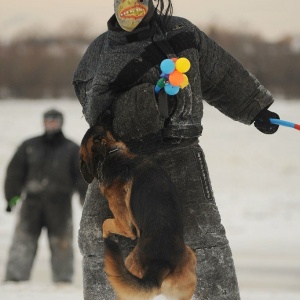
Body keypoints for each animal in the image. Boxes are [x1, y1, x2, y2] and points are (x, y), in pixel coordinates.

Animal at [79, 125, 197, 298]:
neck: (110, 154)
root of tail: (159, 265)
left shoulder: (124, 225)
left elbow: (105, 223)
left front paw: (106, 236)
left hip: (127, 278)